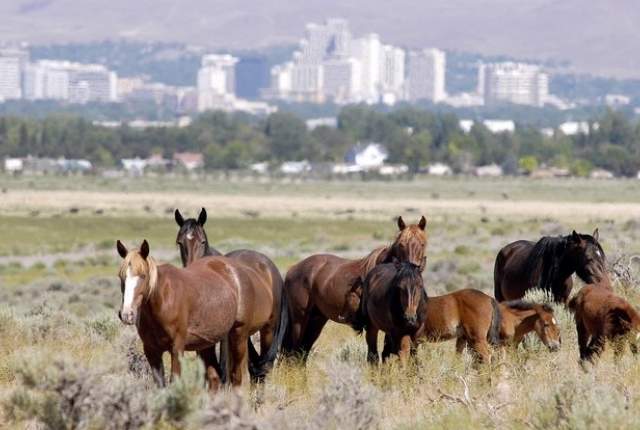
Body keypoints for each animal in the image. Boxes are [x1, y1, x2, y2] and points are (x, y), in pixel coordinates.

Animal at [115, 240, 240, 392]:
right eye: (121, 277)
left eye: (143, 275)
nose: (126, 314)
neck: (164, 300)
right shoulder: (151, 351)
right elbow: (160, 385)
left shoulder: (177, 349)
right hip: (206, 343)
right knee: (214, 377)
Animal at [282, 215, 428, 360]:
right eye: (401, 244)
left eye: (422, 244)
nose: (412, 268)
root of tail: (292, 270)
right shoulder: (372, 327)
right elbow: (374, 356)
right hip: (299, 320)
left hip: (316, 319)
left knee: (302, 352)